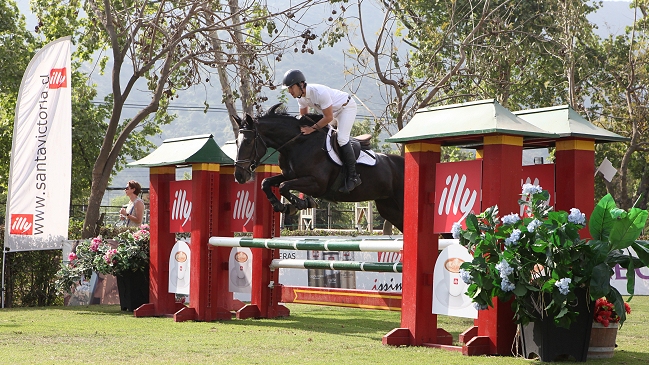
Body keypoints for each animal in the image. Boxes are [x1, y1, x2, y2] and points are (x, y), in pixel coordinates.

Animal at [230, 102, 402, 230]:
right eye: (237, 141)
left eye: (248, 141)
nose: (239, 176)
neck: (297, 144)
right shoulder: (289, 175)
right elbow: (266, 183)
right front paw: (281, 206)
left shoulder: (318, 184)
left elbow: (284, 186)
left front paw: (301, 203)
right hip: (388, 208)